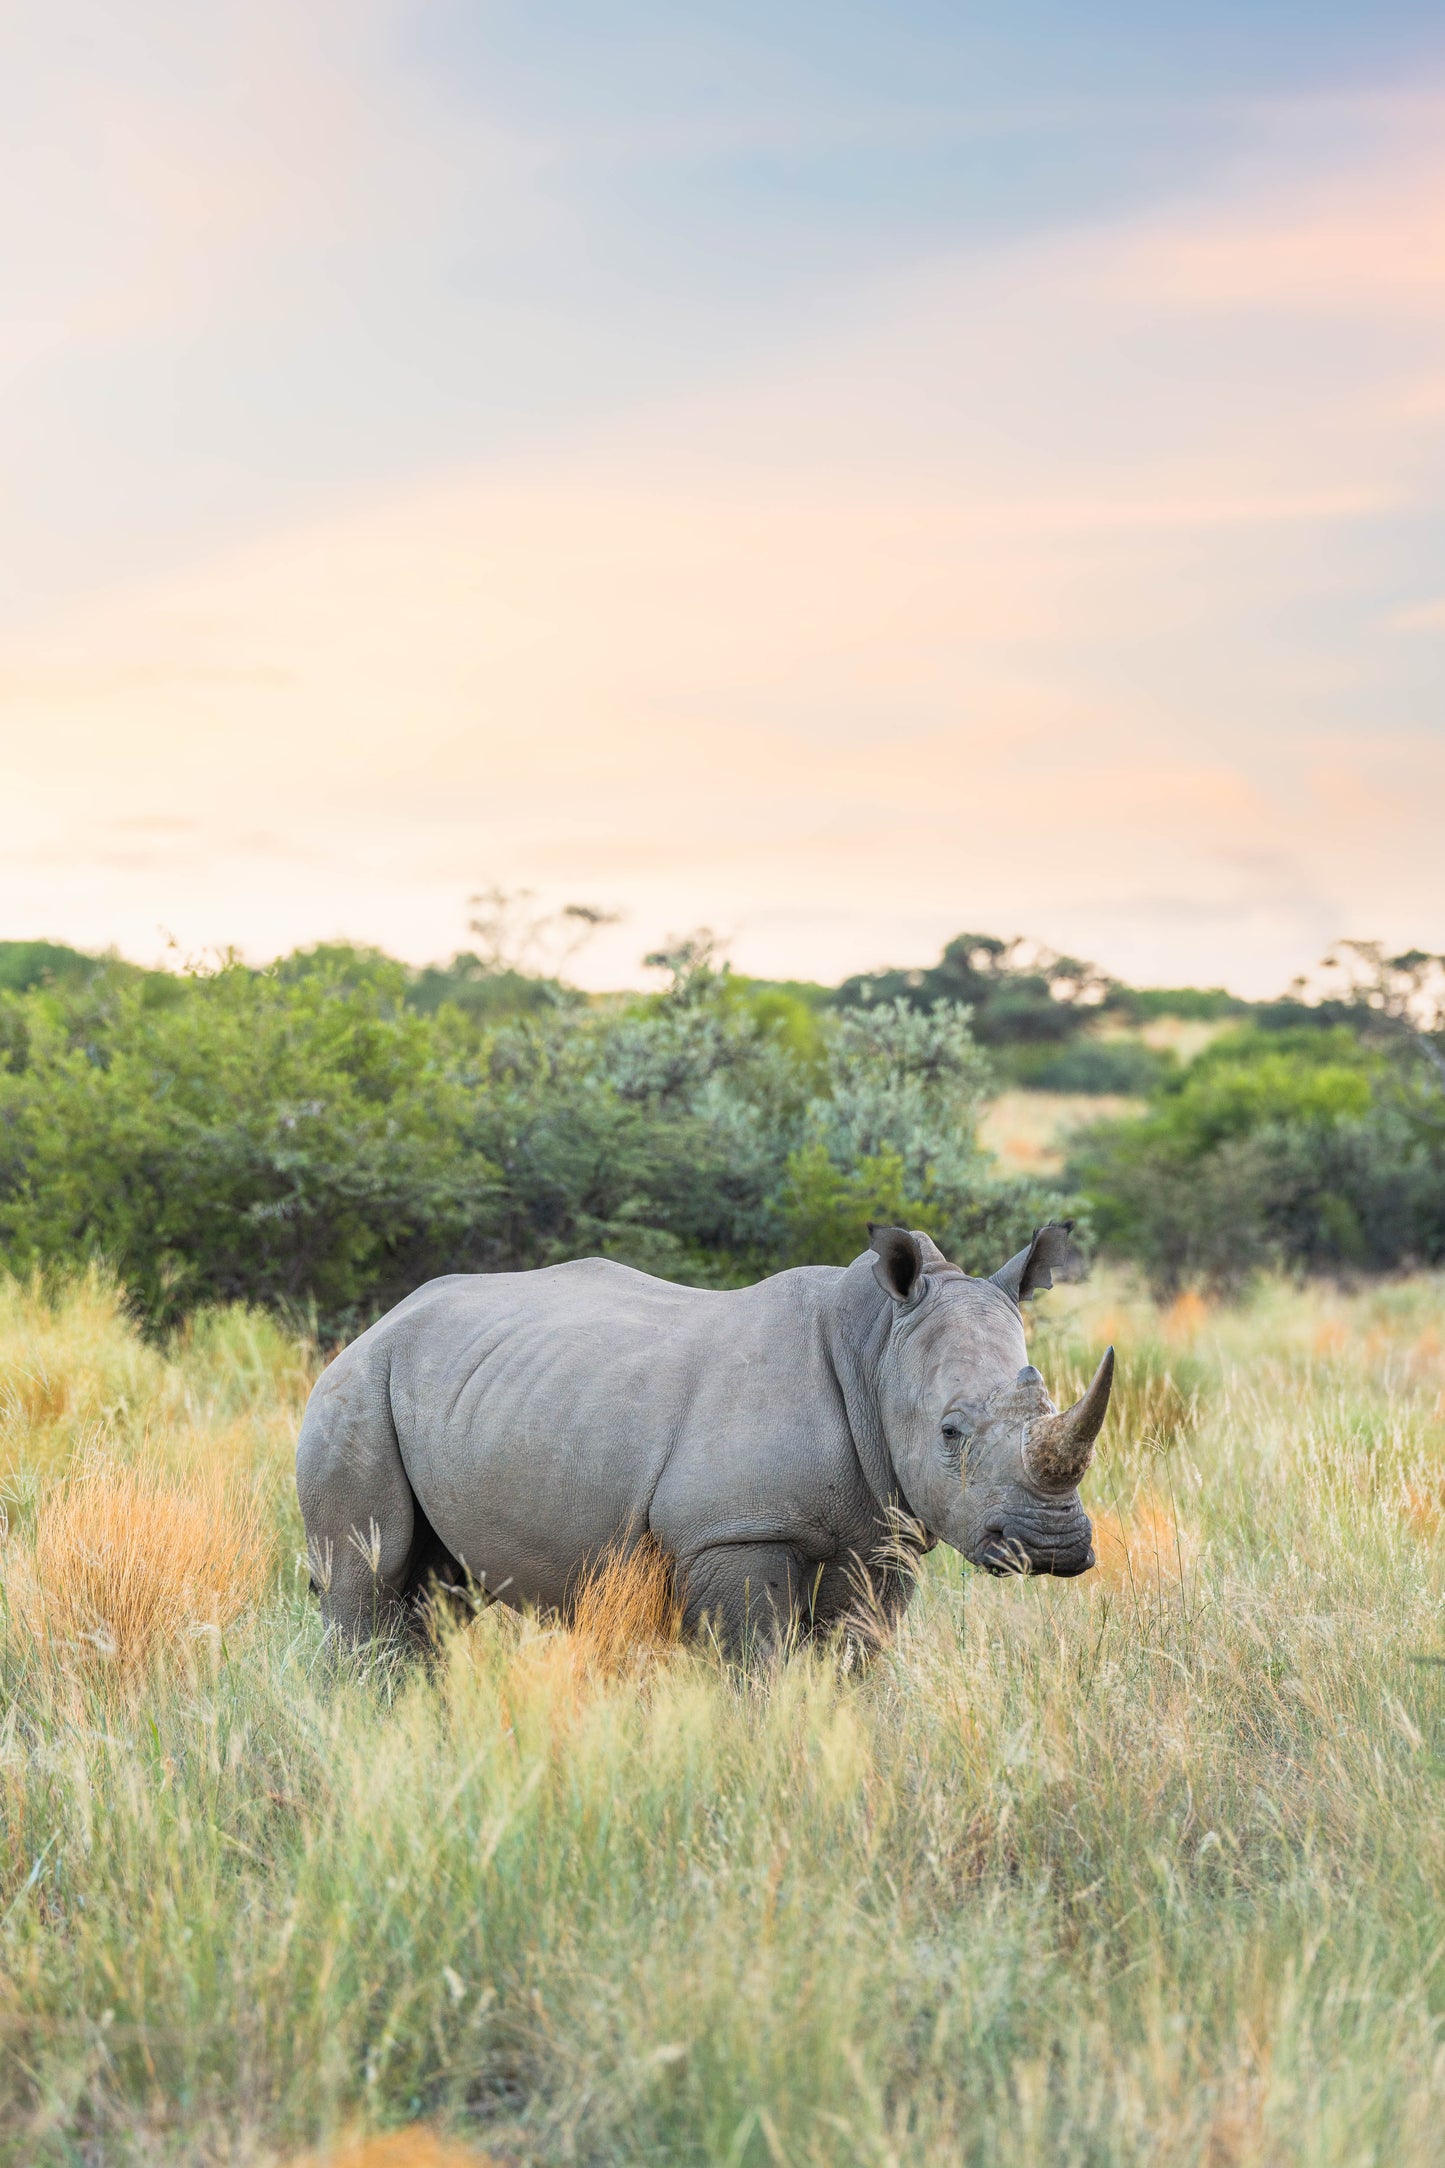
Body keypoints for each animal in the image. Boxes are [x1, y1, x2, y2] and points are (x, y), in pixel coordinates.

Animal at [296, 1221, 1113, 1652]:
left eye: (1046, 1400)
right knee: (366, 1577)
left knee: (438, 1590)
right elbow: (758, 1666)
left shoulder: (882, 1536)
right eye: (950, 1431)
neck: (877, 1348)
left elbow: (854, 1658)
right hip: (355, 1390)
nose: (1051, 1547)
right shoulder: (734, 1531)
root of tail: (378, 1323)